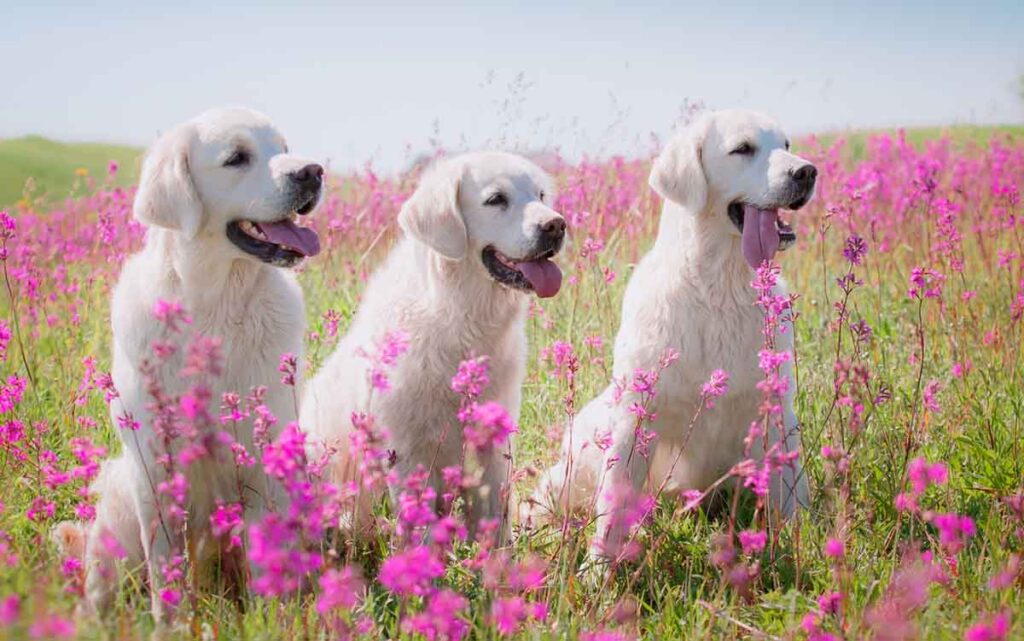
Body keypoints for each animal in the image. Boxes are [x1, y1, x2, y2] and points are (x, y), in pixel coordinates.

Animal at [54, 105, 323, 618]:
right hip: (120, 504)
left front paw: (271, 618)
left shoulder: (263, 459)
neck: (216, 305)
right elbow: (166, 572)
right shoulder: (157, 470)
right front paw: (173, 623)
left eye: (284, 148)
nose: (313, 172)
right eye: (237, 157)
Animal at [528, 109, 815, 557]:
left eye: (786, 144)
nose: (807, 172)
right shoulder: (635, 418)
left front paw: (805, 542)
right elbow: (613, 504)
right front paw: (599, 567)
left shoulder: (776, 409)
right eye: (743, 149)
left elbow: (791, 491)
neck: (718, 290)